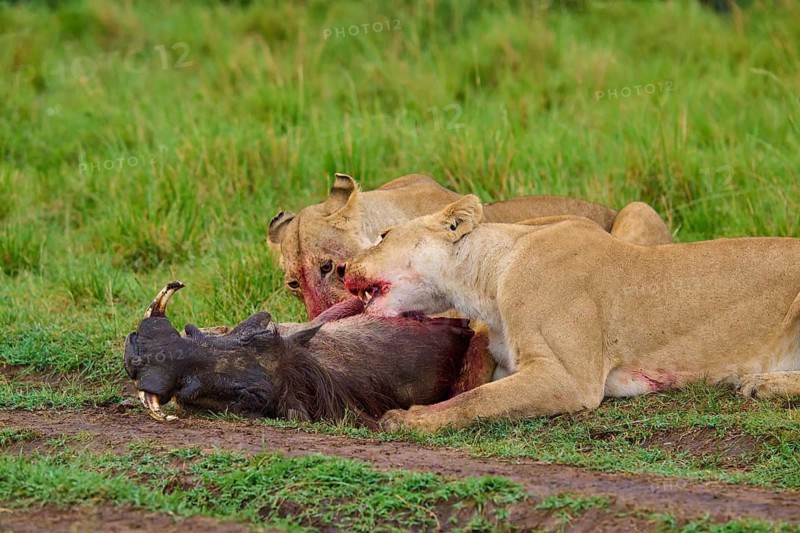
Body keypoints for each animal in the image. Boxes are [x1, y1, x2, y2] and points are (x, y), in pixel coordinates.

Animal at [341, 195, 800, 432]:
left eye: (383, 235)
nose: (342, 267)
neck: (487, 281)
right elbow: (475, 383)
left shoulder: (570, 378)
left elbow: (480, 399)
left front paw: (410, 420)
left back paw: (761, 384)